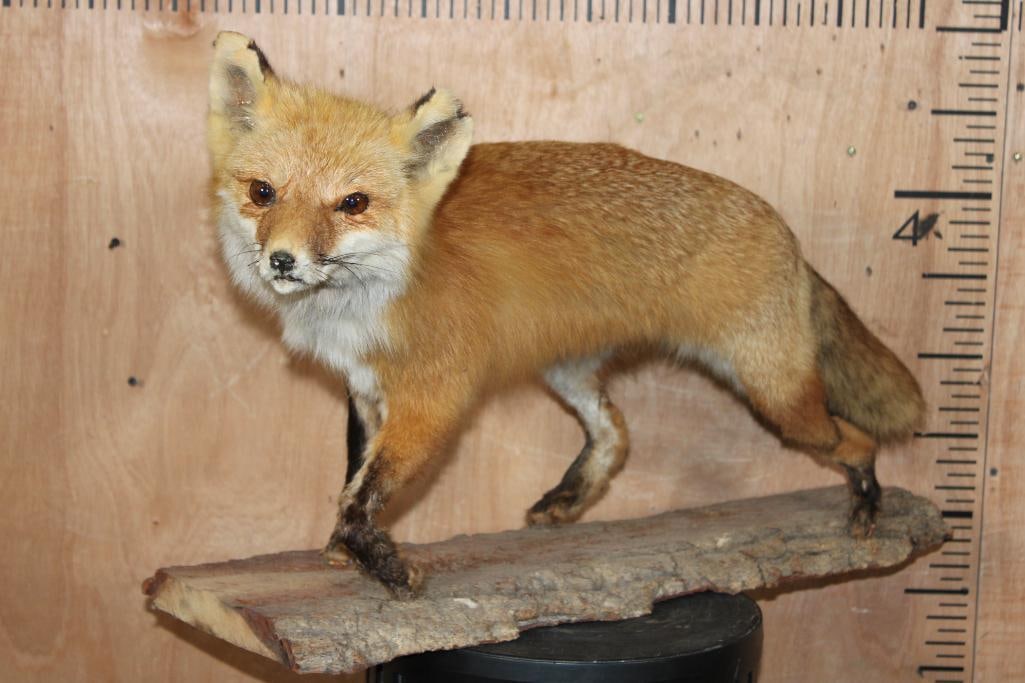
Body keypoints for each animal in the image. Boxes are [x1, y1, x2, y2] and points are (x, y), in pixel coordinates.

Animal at [208, 32, 925, 598]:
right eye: (263, 193)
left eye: (352, 203)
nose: (282, 260)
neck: (360, 305)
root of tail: (786, 234)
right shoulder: (362, 388)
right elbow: (354, 478)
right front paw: (344, 550)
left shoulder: (434, 397)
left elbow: (363, 493)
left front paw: (381, 564)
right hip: (571, 372)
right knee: (616, 433)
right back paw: (569, 498)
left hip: (777, 400)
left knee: (853, 440)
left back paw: (867, 500)